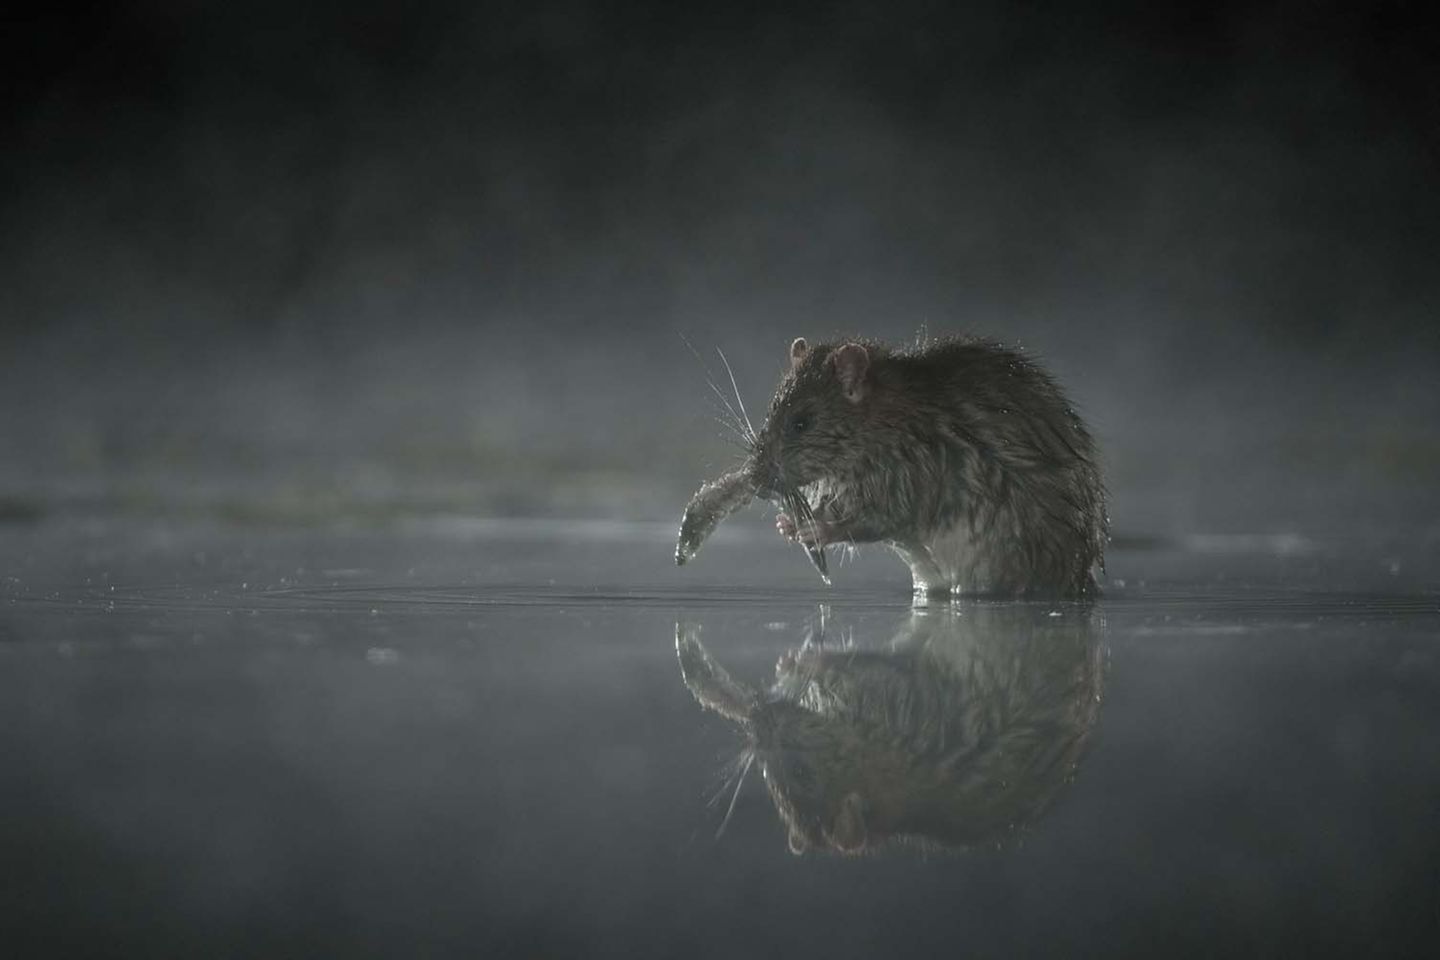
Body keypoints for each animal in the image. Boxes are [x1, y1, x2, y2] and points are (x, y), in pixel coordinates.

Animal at [675, 336, 1107, 597]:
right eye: (771, 413)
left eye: (801, 422)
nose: (758, 479)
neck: (879, 421)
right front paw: (789, 525)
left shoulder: (911, 468)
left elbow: (884, 518)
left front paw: (816, 529)